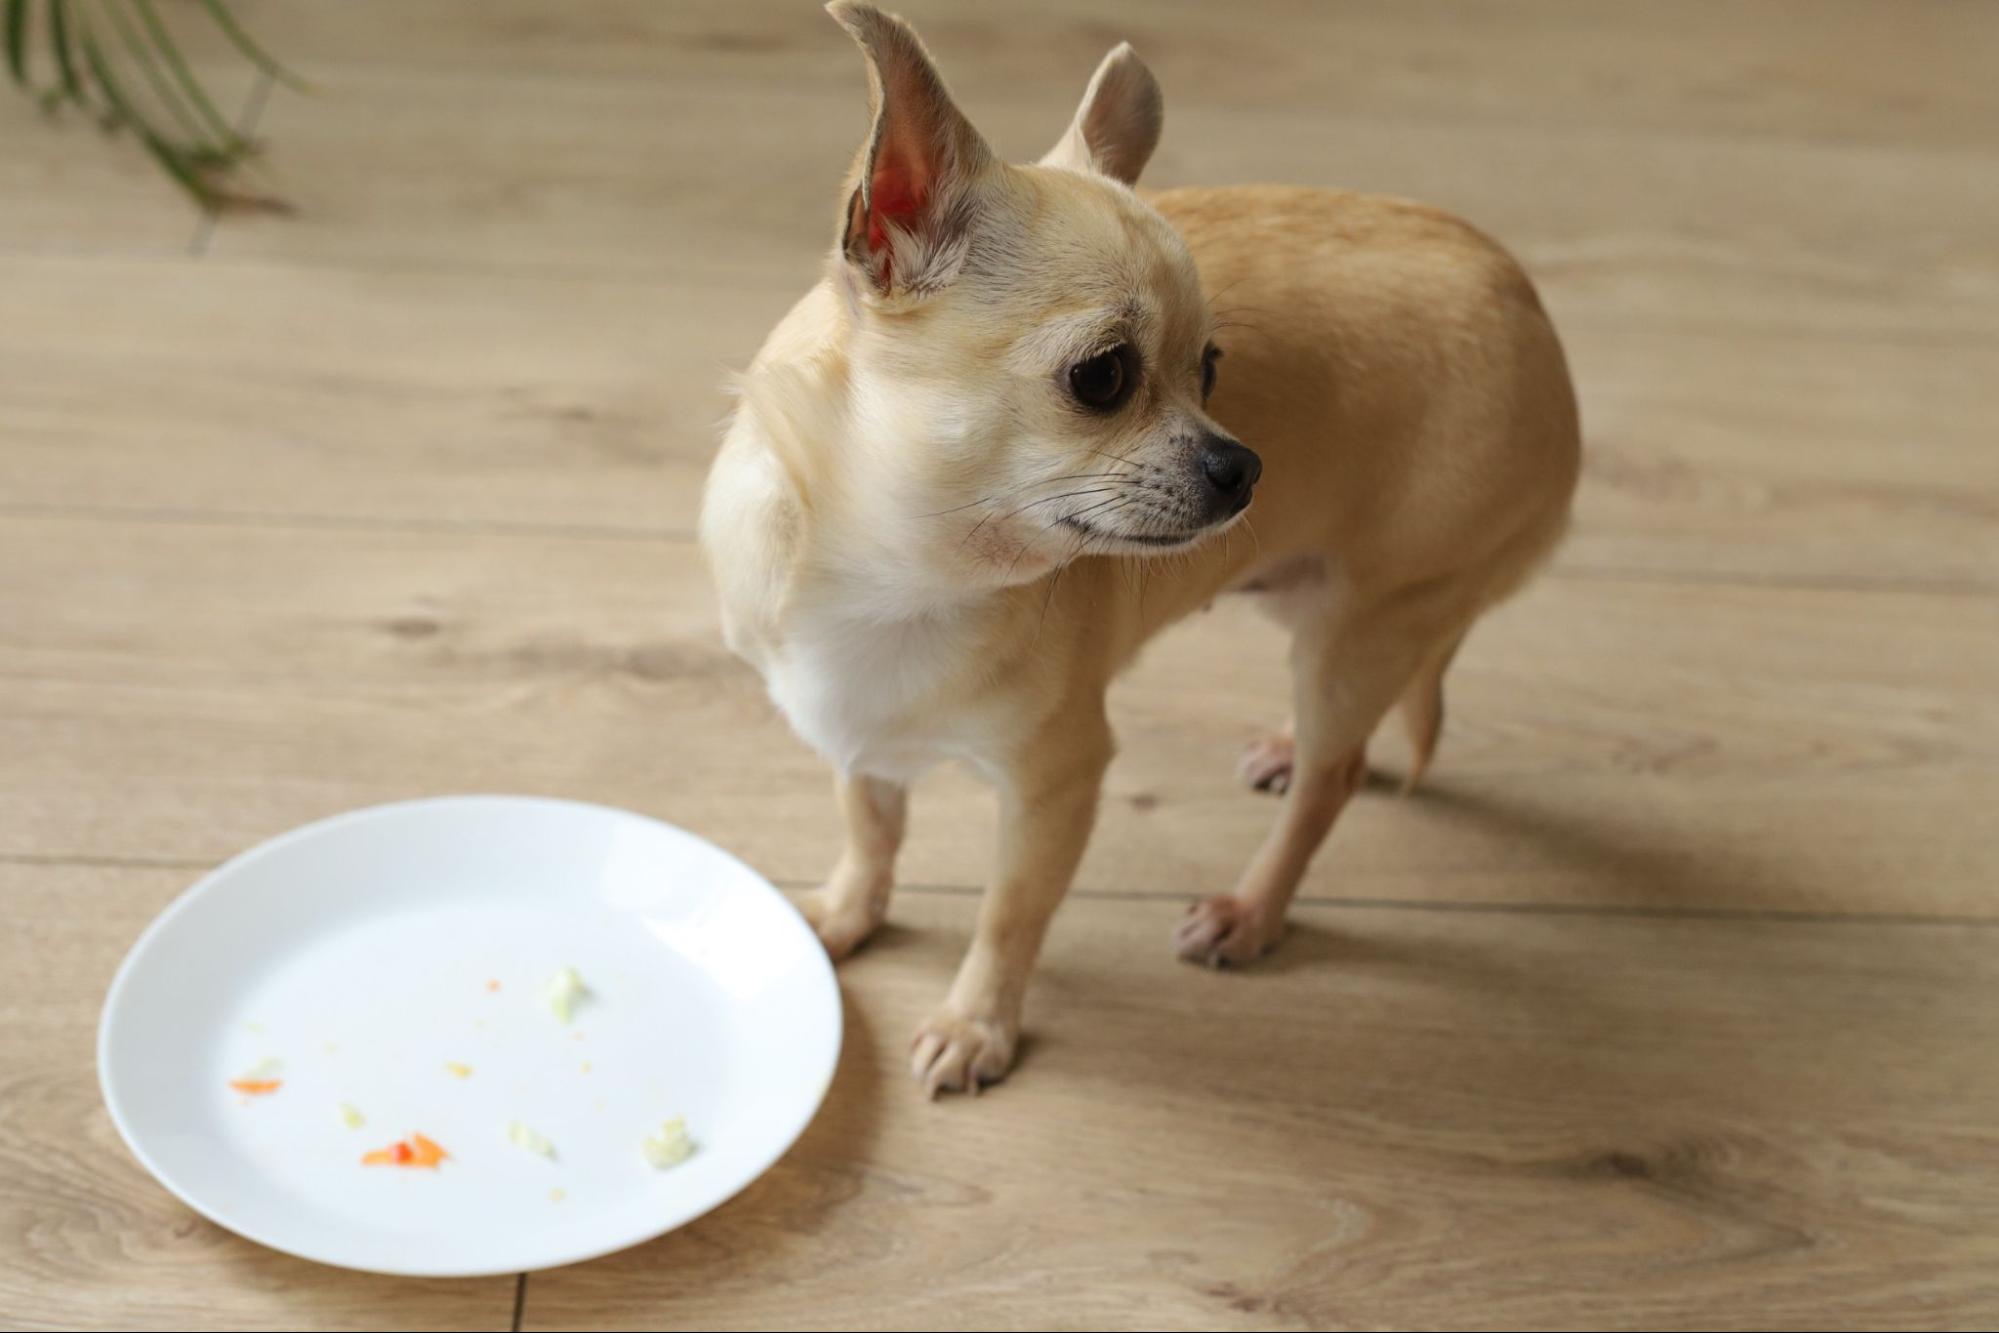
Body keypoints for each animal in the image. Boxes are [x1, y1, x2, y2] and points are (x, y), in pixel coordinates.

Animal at [703, 5, 1575, 1103]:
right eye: (1103, 377)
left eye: (1210, 368)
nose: (1245, 466)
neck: (897, 581)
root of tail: (1530, 309)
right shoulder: (853, 733)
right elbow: (870, 828)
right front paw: (846, 913)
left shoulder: (1056, 782)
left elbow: (1008, 912)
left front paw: (976, 1023)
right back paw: (1286, 755)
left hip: (1364, 626)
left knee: (1334, 776)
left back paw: (1250, 912)